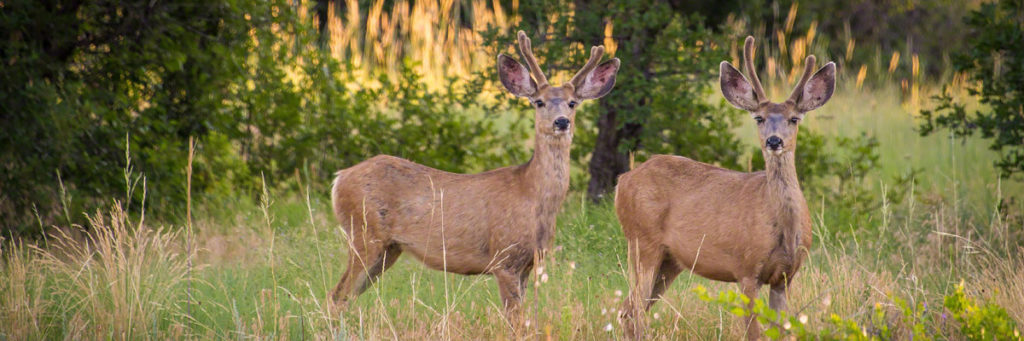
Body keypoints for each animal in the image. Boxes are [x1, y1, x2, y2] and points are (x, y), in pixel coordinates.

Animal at [327, 31, 618, 323]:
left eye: (572, 103)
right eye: (539, 102)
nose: (561, 121)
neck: (532, 196)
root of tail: (340, 178)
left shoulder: (527, 264)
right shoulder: (504, 258)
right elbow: (514, 321)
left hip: (388, 248)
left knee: (346, 295)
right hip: (364, 232)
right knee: (337, 294)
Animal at [614, 35, 831, 337]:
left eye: (794, 119)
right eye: (759, 118)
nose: (774, 140)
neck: (782, 228)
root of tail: (622, 181)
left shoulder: (785, 276)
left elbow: (780, 329)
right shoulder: (746, 268)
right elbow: (754, 332)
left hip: (670, 261)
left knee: (628, 309)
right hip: (641, 241)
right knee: (632, 311)